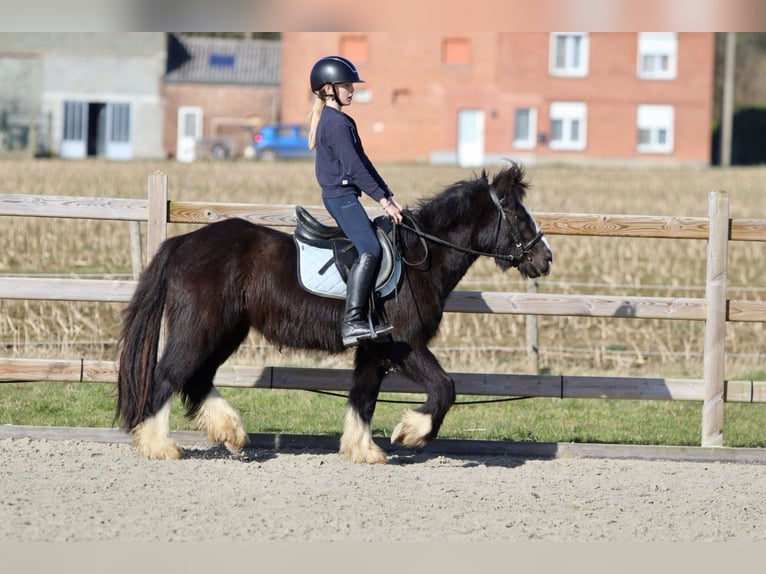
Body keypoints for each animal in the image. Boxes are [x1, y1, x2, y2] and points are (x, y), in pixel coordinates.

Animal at [117, 161, 556, 464]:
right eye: (518, 213)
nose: (546, 258)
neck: (420, 256)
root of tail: (183, 243)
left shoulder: (374, 348)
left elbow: (363, 396)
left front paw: (363, 450)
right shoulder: (404, 345)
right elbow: (444, 388)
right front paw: (408, 433)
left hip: (227, 330)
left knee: (197, 378)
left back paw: (231, 432)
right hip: (201, 327)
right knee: (168, 375)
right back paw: (159, 446)